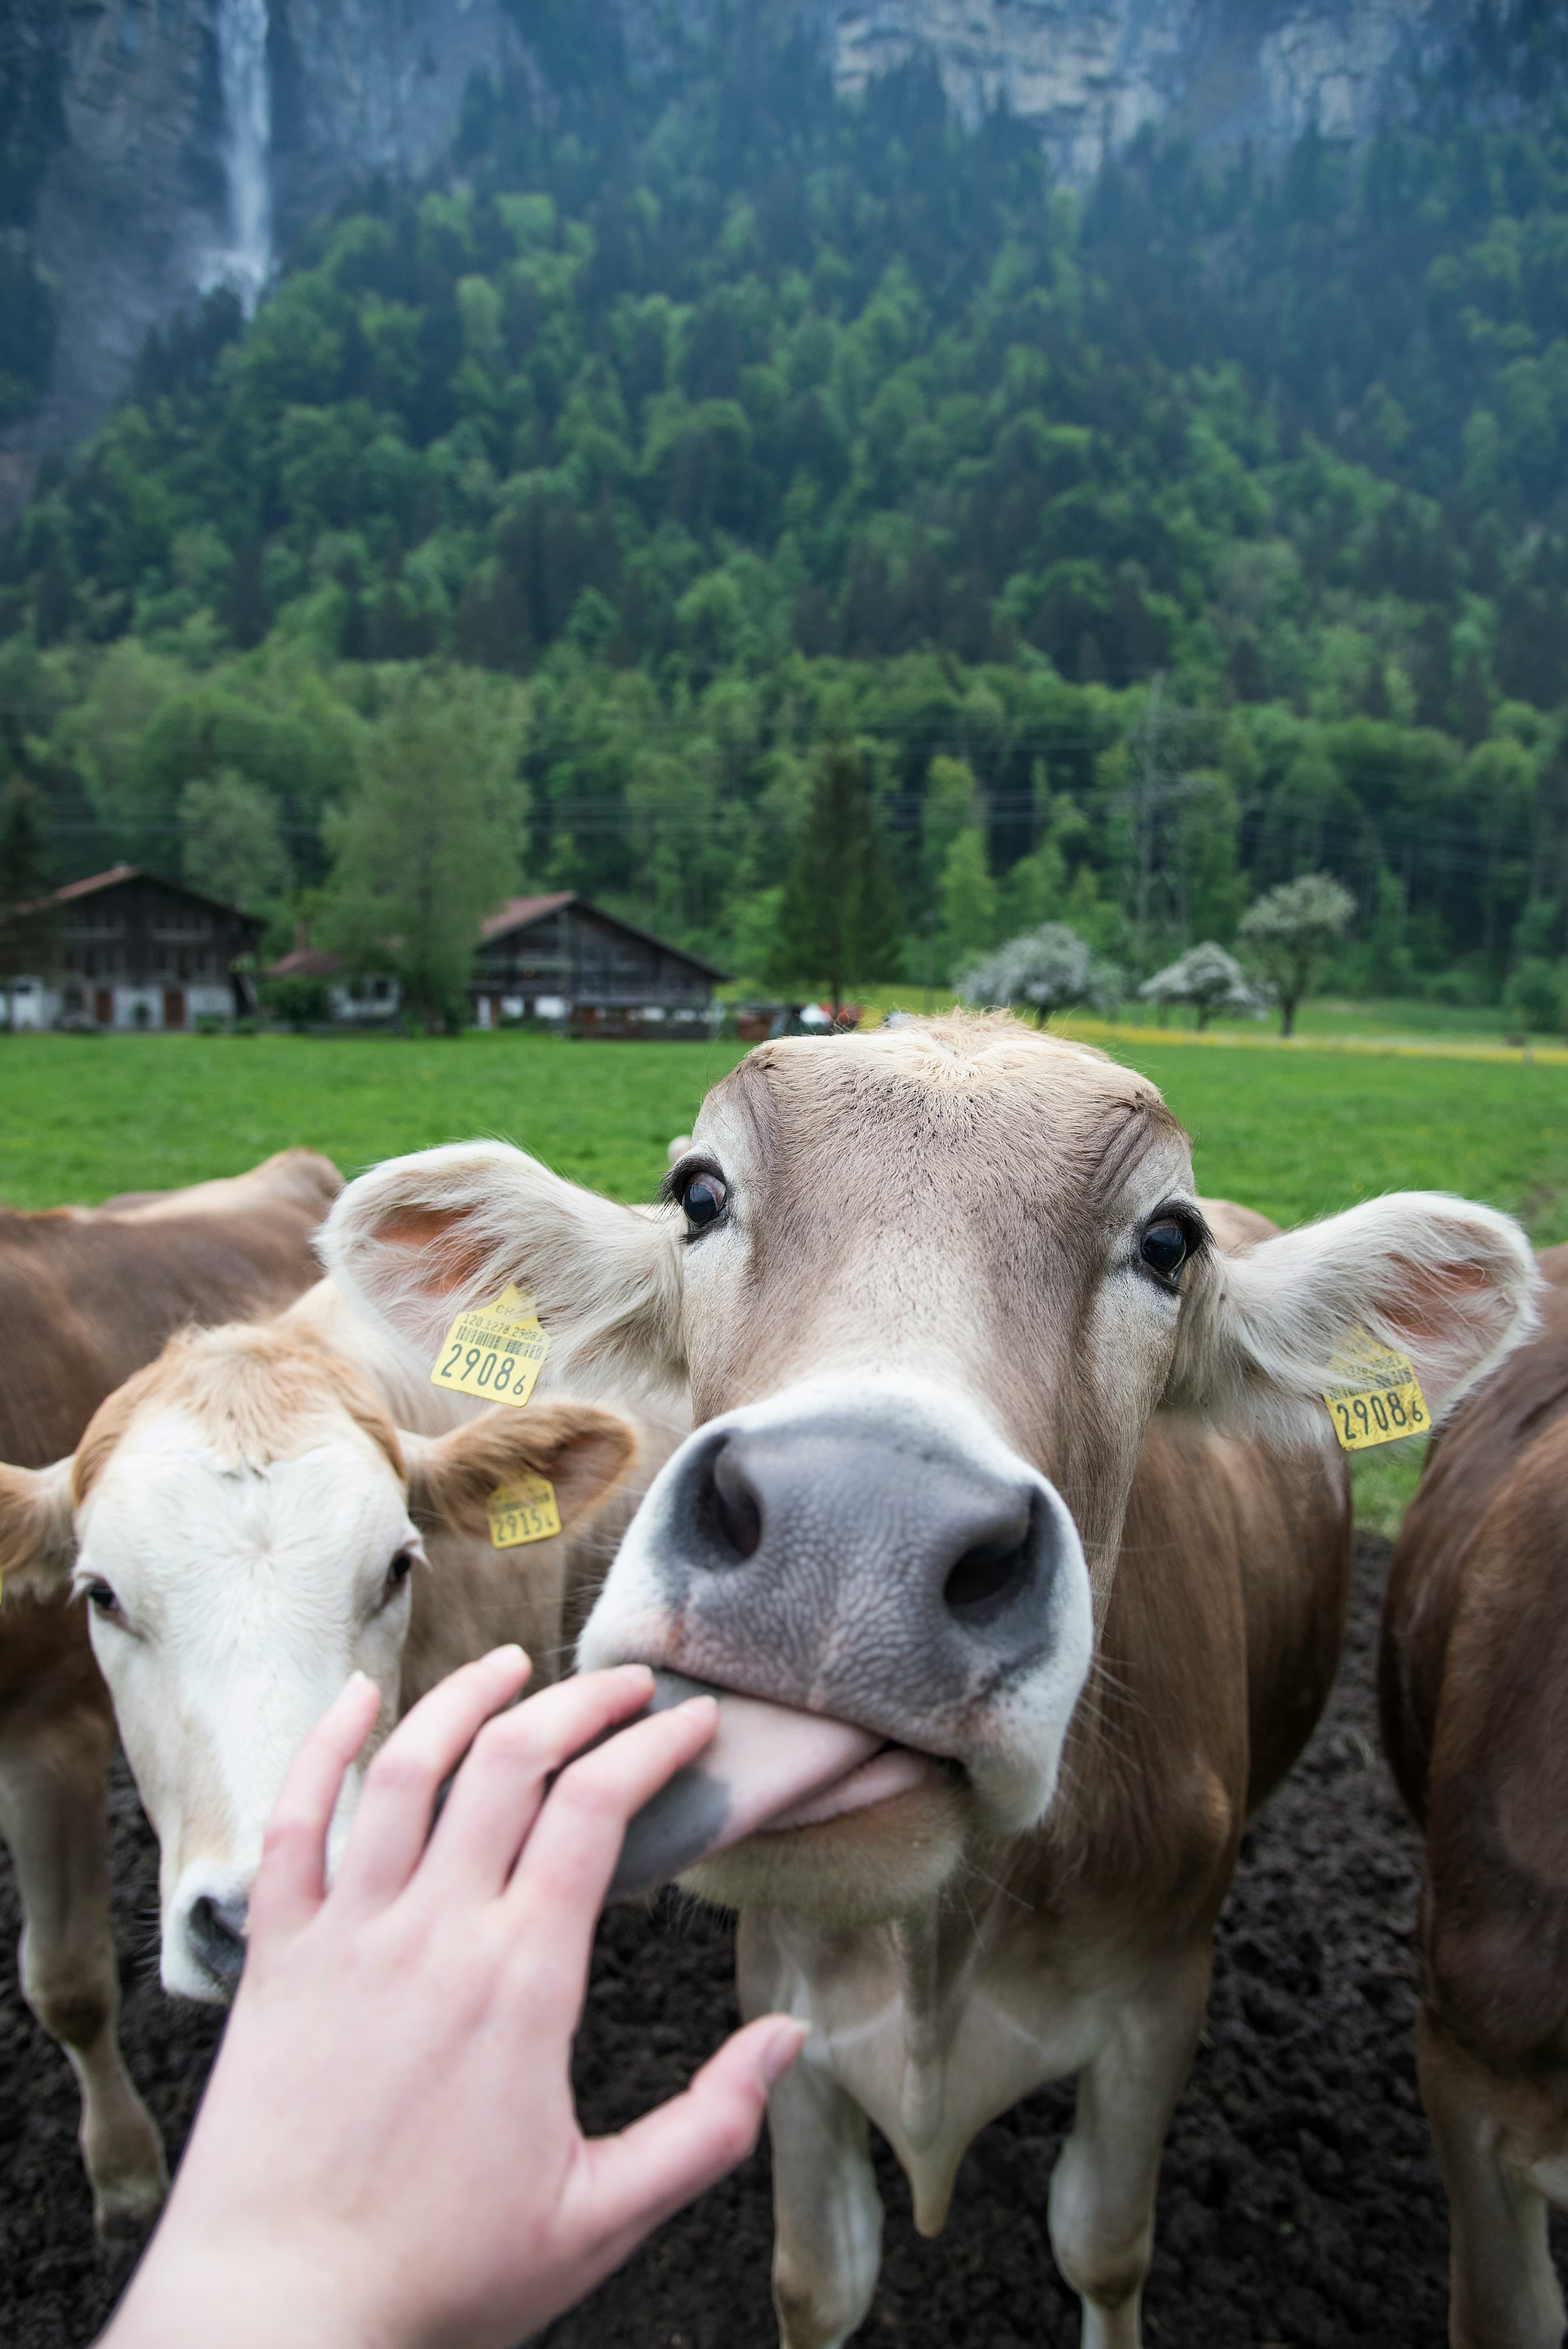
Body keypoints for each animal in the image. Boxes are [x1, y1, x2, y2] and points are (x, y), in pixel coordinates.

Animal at [319, 1015, 1536, 2347]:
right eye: (699, 1192)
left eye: (1168, 1239)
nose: (852, 1533)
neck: (935, 1949)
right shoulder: (786, 2003)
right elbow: (816, 2273)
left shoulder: (1153, 2010)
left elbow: (1104, 2244)